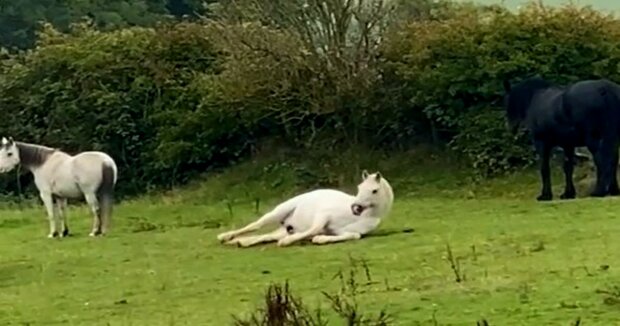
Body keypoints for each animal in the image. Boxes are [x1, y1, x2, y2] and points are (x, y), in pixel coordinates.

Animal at [217, 171, 392, 247]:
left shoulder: (347, 232)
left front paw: (320, 239)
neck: (358, 217)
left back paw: (241, 242)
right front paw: (287, 242)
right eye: (359, 187)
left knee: (266, 236)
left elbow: (354, 236)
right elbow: (314, 229)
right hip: (279, 211)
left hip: (284, 228)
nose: (355, 207)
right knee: (256, 225)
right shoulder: (323, 215)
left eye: (374, 191)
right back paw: (225, 237)